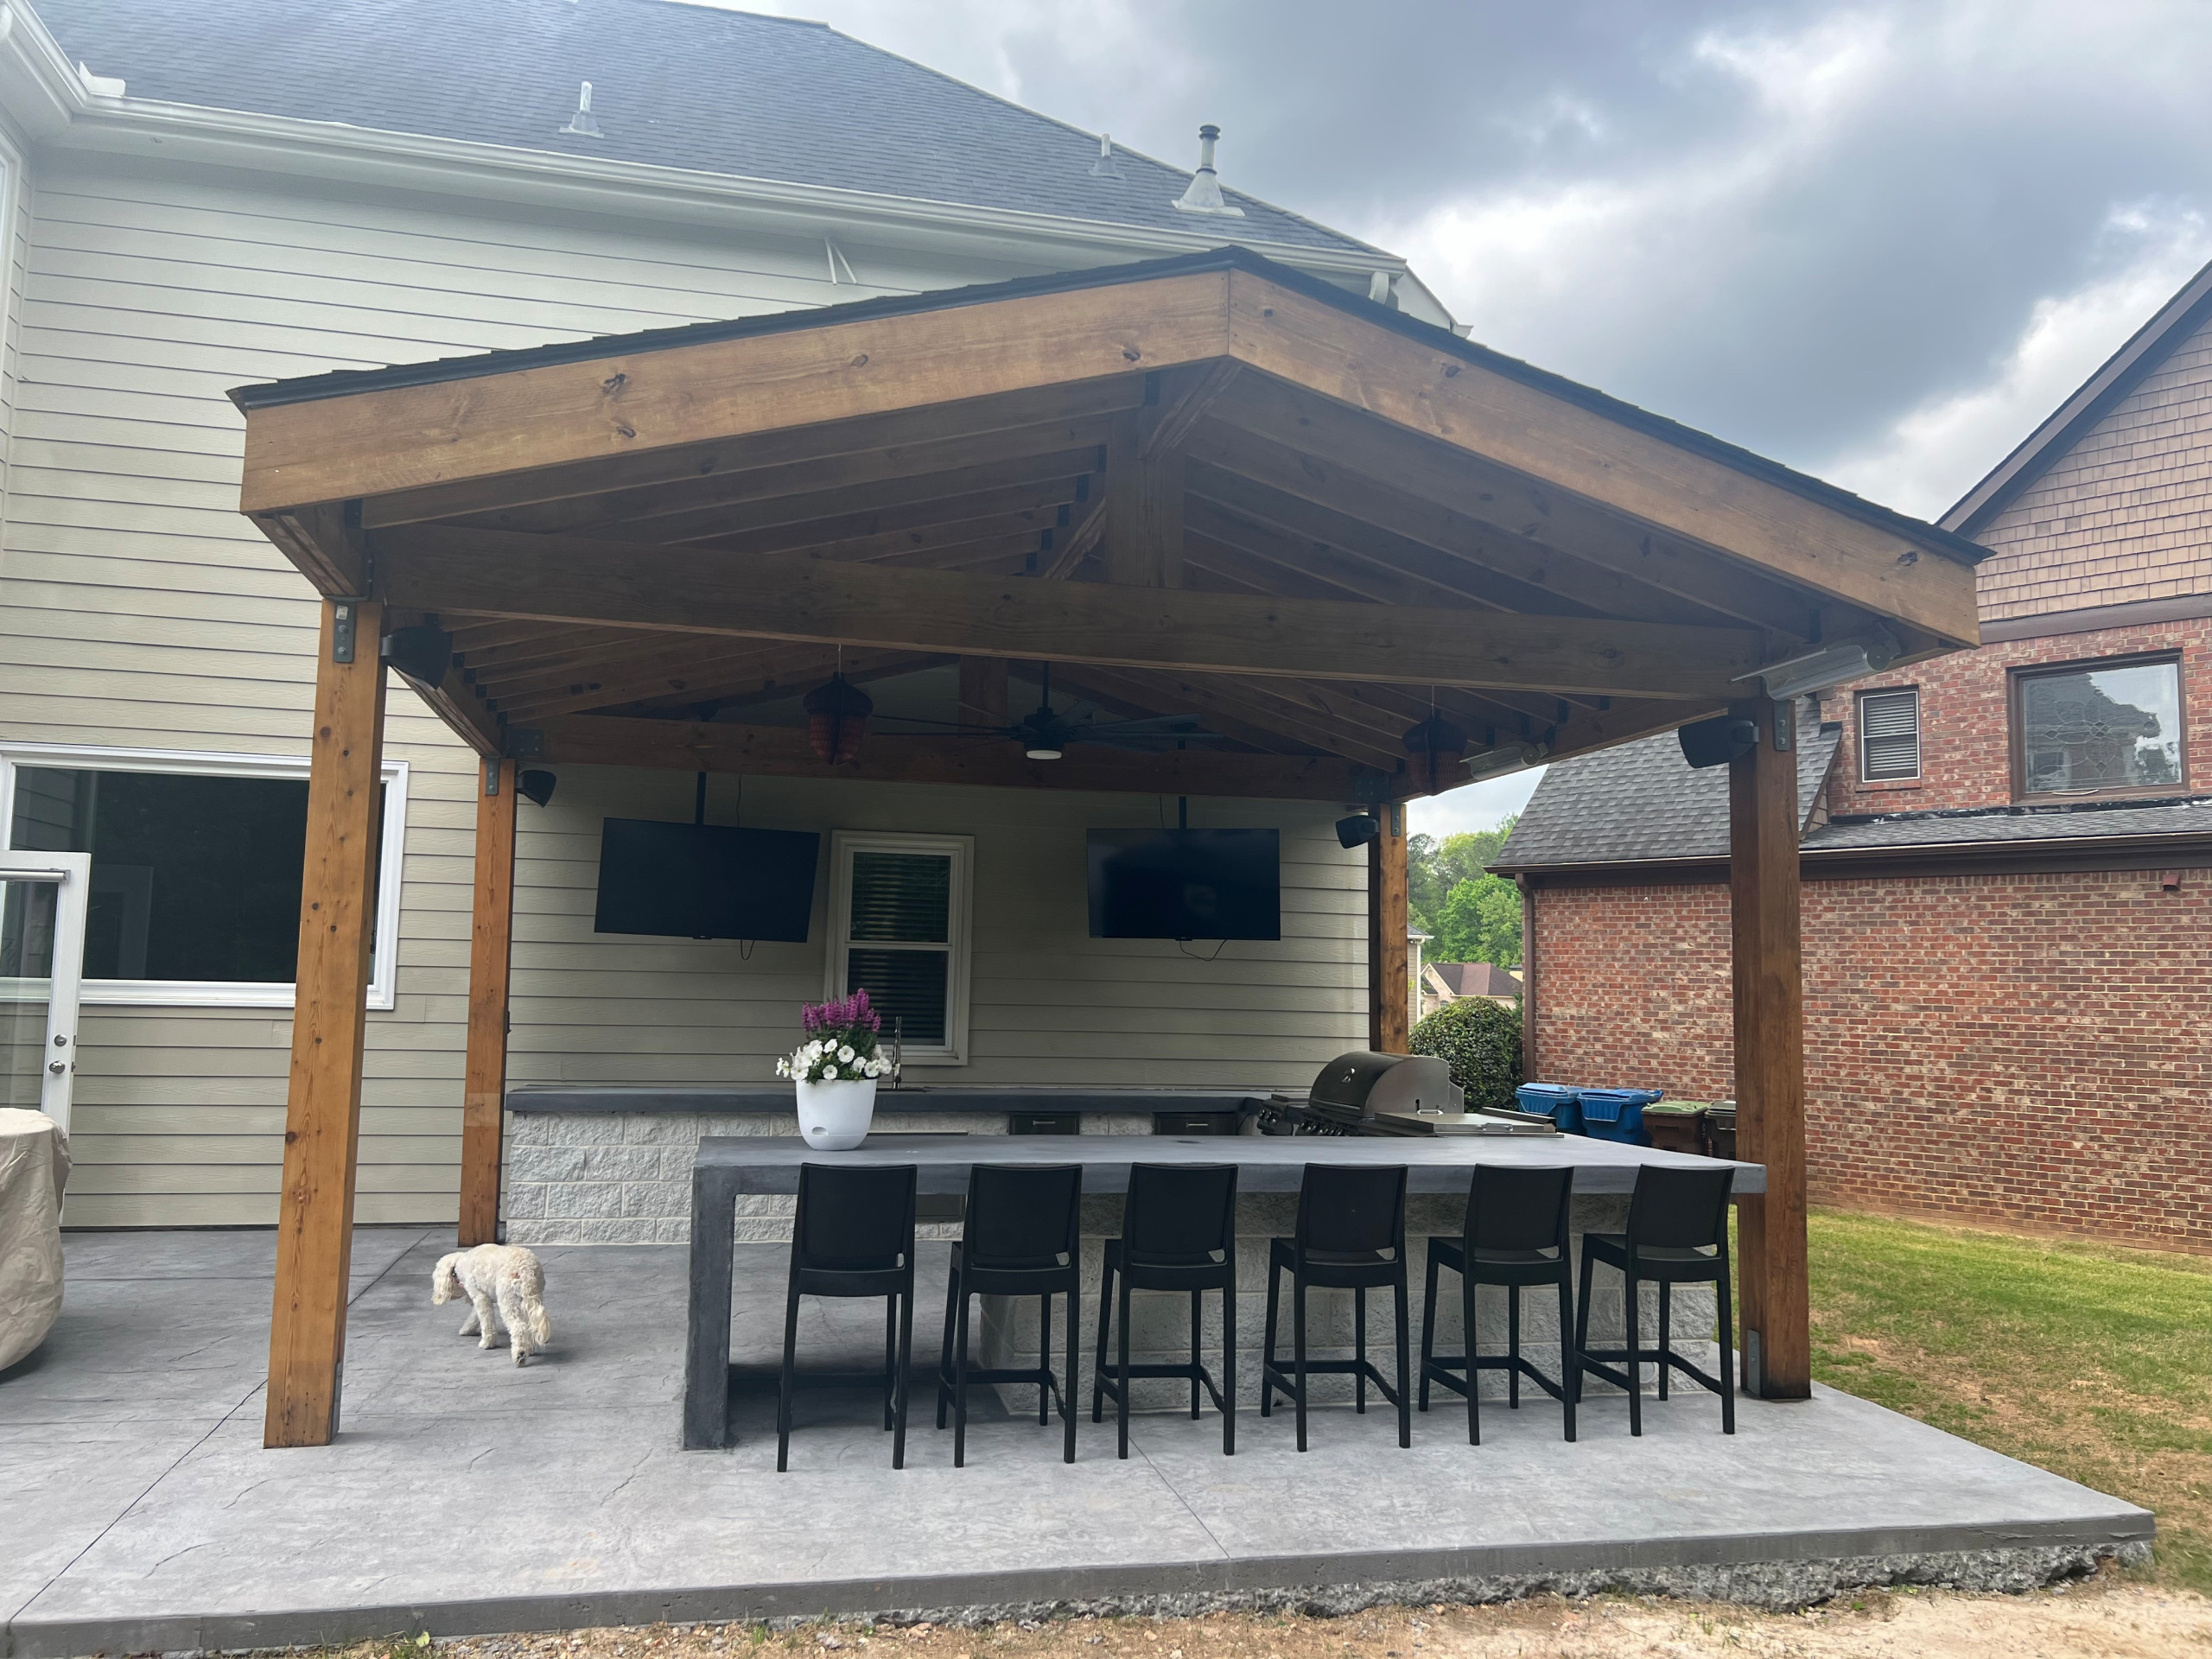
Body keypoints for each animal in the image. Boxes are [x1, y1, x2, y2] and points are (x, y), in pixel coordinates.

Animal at [431, 1247, 553, 1362]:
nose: (435, 1298)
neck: (459, 1262)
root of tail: (527, 1269)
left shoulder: (480, 1297)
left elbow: (486, 1322)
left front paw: (487, 1343)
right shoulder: (483, 1296)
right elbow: (474, 1317)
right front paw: (466, 1330)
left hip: (508, 1300)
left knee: (518, 1326)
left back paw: (520, 1354)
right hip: (530, 1299)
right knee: (529, 1325)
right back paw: (529, 1349)